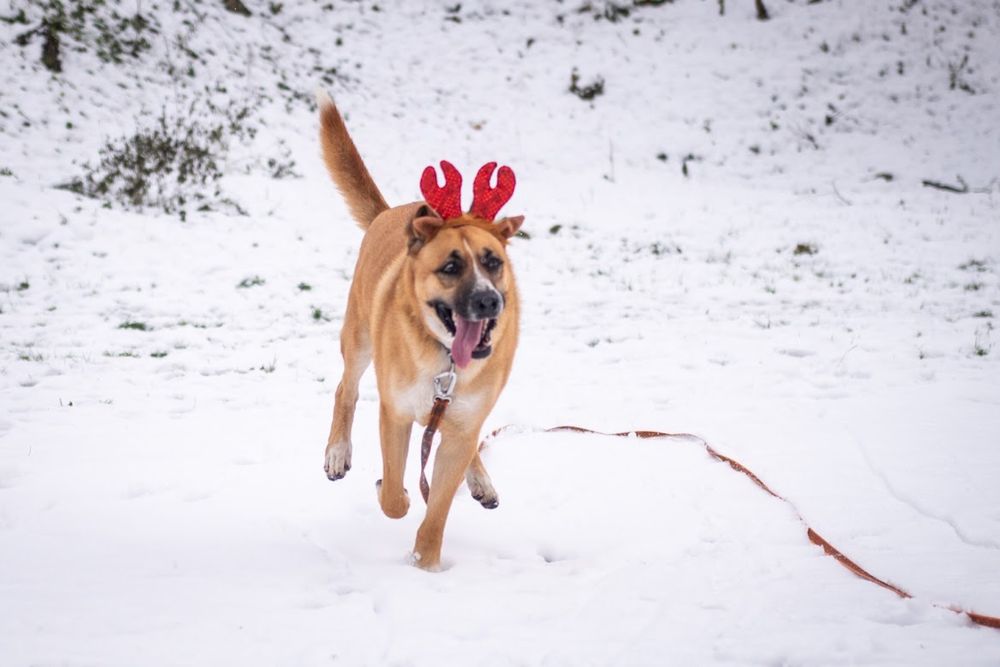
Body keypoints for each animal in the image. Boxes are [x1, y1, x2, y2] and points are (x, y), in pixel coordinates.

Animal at [318, 91, 524, 572]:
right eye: (450, 267)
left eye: (493, 262)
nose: (489, 301)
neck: (445, 363)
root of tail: (392, 212)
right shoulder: (394, 414)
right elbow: (395, 496)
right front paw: (393, 493)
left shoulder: (462, 424)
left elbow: (439, 510)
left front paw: (425, 565)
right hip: (358, 339)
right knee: (345, 389)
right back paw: (338, 451)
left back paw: (480, 480)